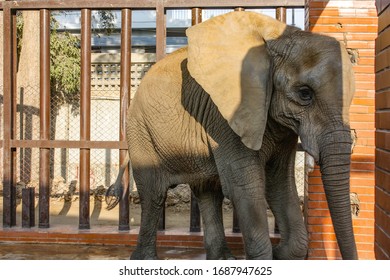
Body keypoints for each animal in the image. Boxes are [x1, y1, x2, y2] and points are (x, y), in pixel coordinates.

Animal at [109, 10, 356, 260]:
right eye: (305, 94)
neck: (279, 37)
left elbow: (279, 182)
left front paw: (281, 252)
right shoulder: (226, 117)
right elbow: (244, 187)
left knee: (209, 192)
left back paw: (221, 258)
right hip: (140, 130)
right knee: (154, 195)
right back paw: (146, 258)